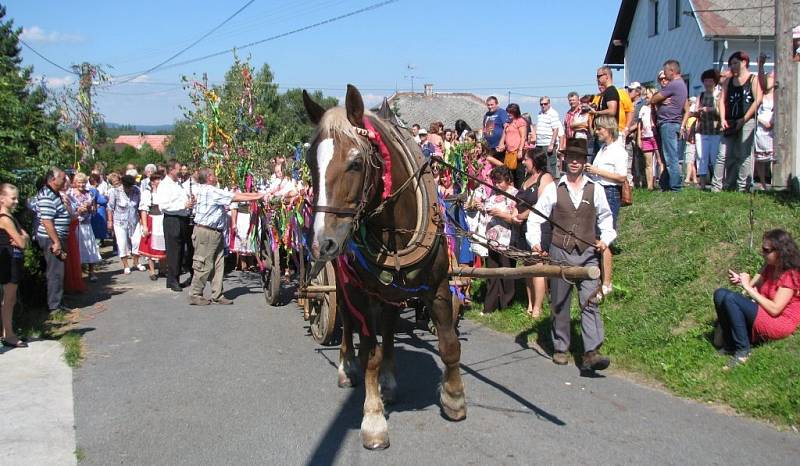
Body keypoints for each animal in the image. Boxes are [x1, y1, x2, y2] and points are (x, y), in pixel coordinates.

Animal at [302, 85, 466, 450]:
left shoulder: (437, 286)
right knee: (347, 321)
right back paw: (347, 366)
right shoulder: (360, 292)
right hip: (344, 282)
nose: (322, 242)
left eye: (356, 162)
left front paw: (454, 397)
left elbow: (449, 342)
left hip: (393, 287)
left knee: (389, 324)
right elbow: (370, 354)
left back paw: (390, 380)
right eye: (309, 163)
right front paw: (374, 419)